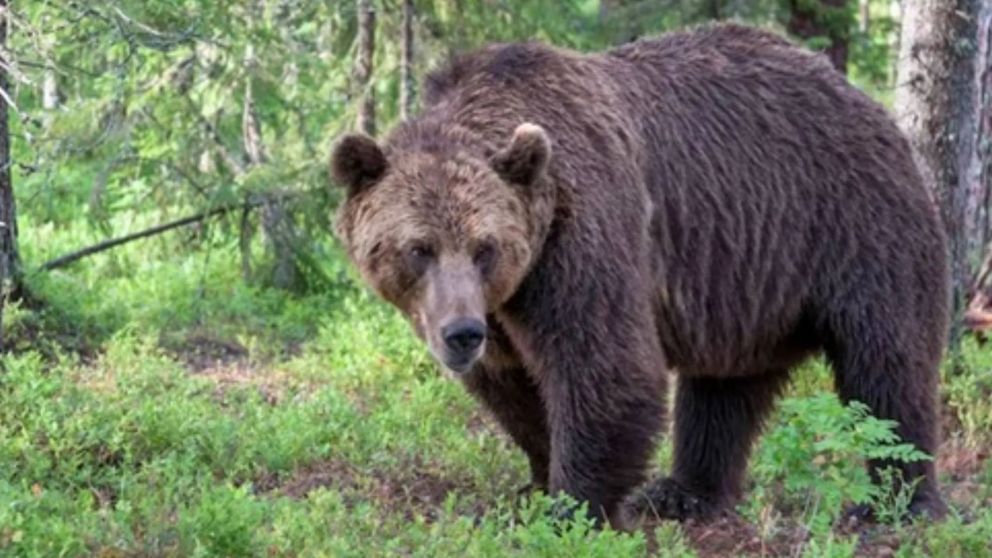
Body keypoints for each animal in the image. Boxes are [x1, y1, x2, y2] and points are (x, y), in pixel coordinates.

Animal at [330, 22, 949, 529]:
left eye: (486, 248)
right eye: (419, 248)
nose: (461, 334)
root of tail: (866, 100)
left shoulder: (581, 237)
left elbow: (606, 366)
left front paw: (572, 508)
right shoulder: (505, 305)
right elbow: (513, 385)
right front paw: (534, 484)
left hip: (855, 223)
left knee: (887, 364)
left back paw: (896, 502)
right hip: (746, 280)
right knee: (723, 388)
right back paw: (684, 493)